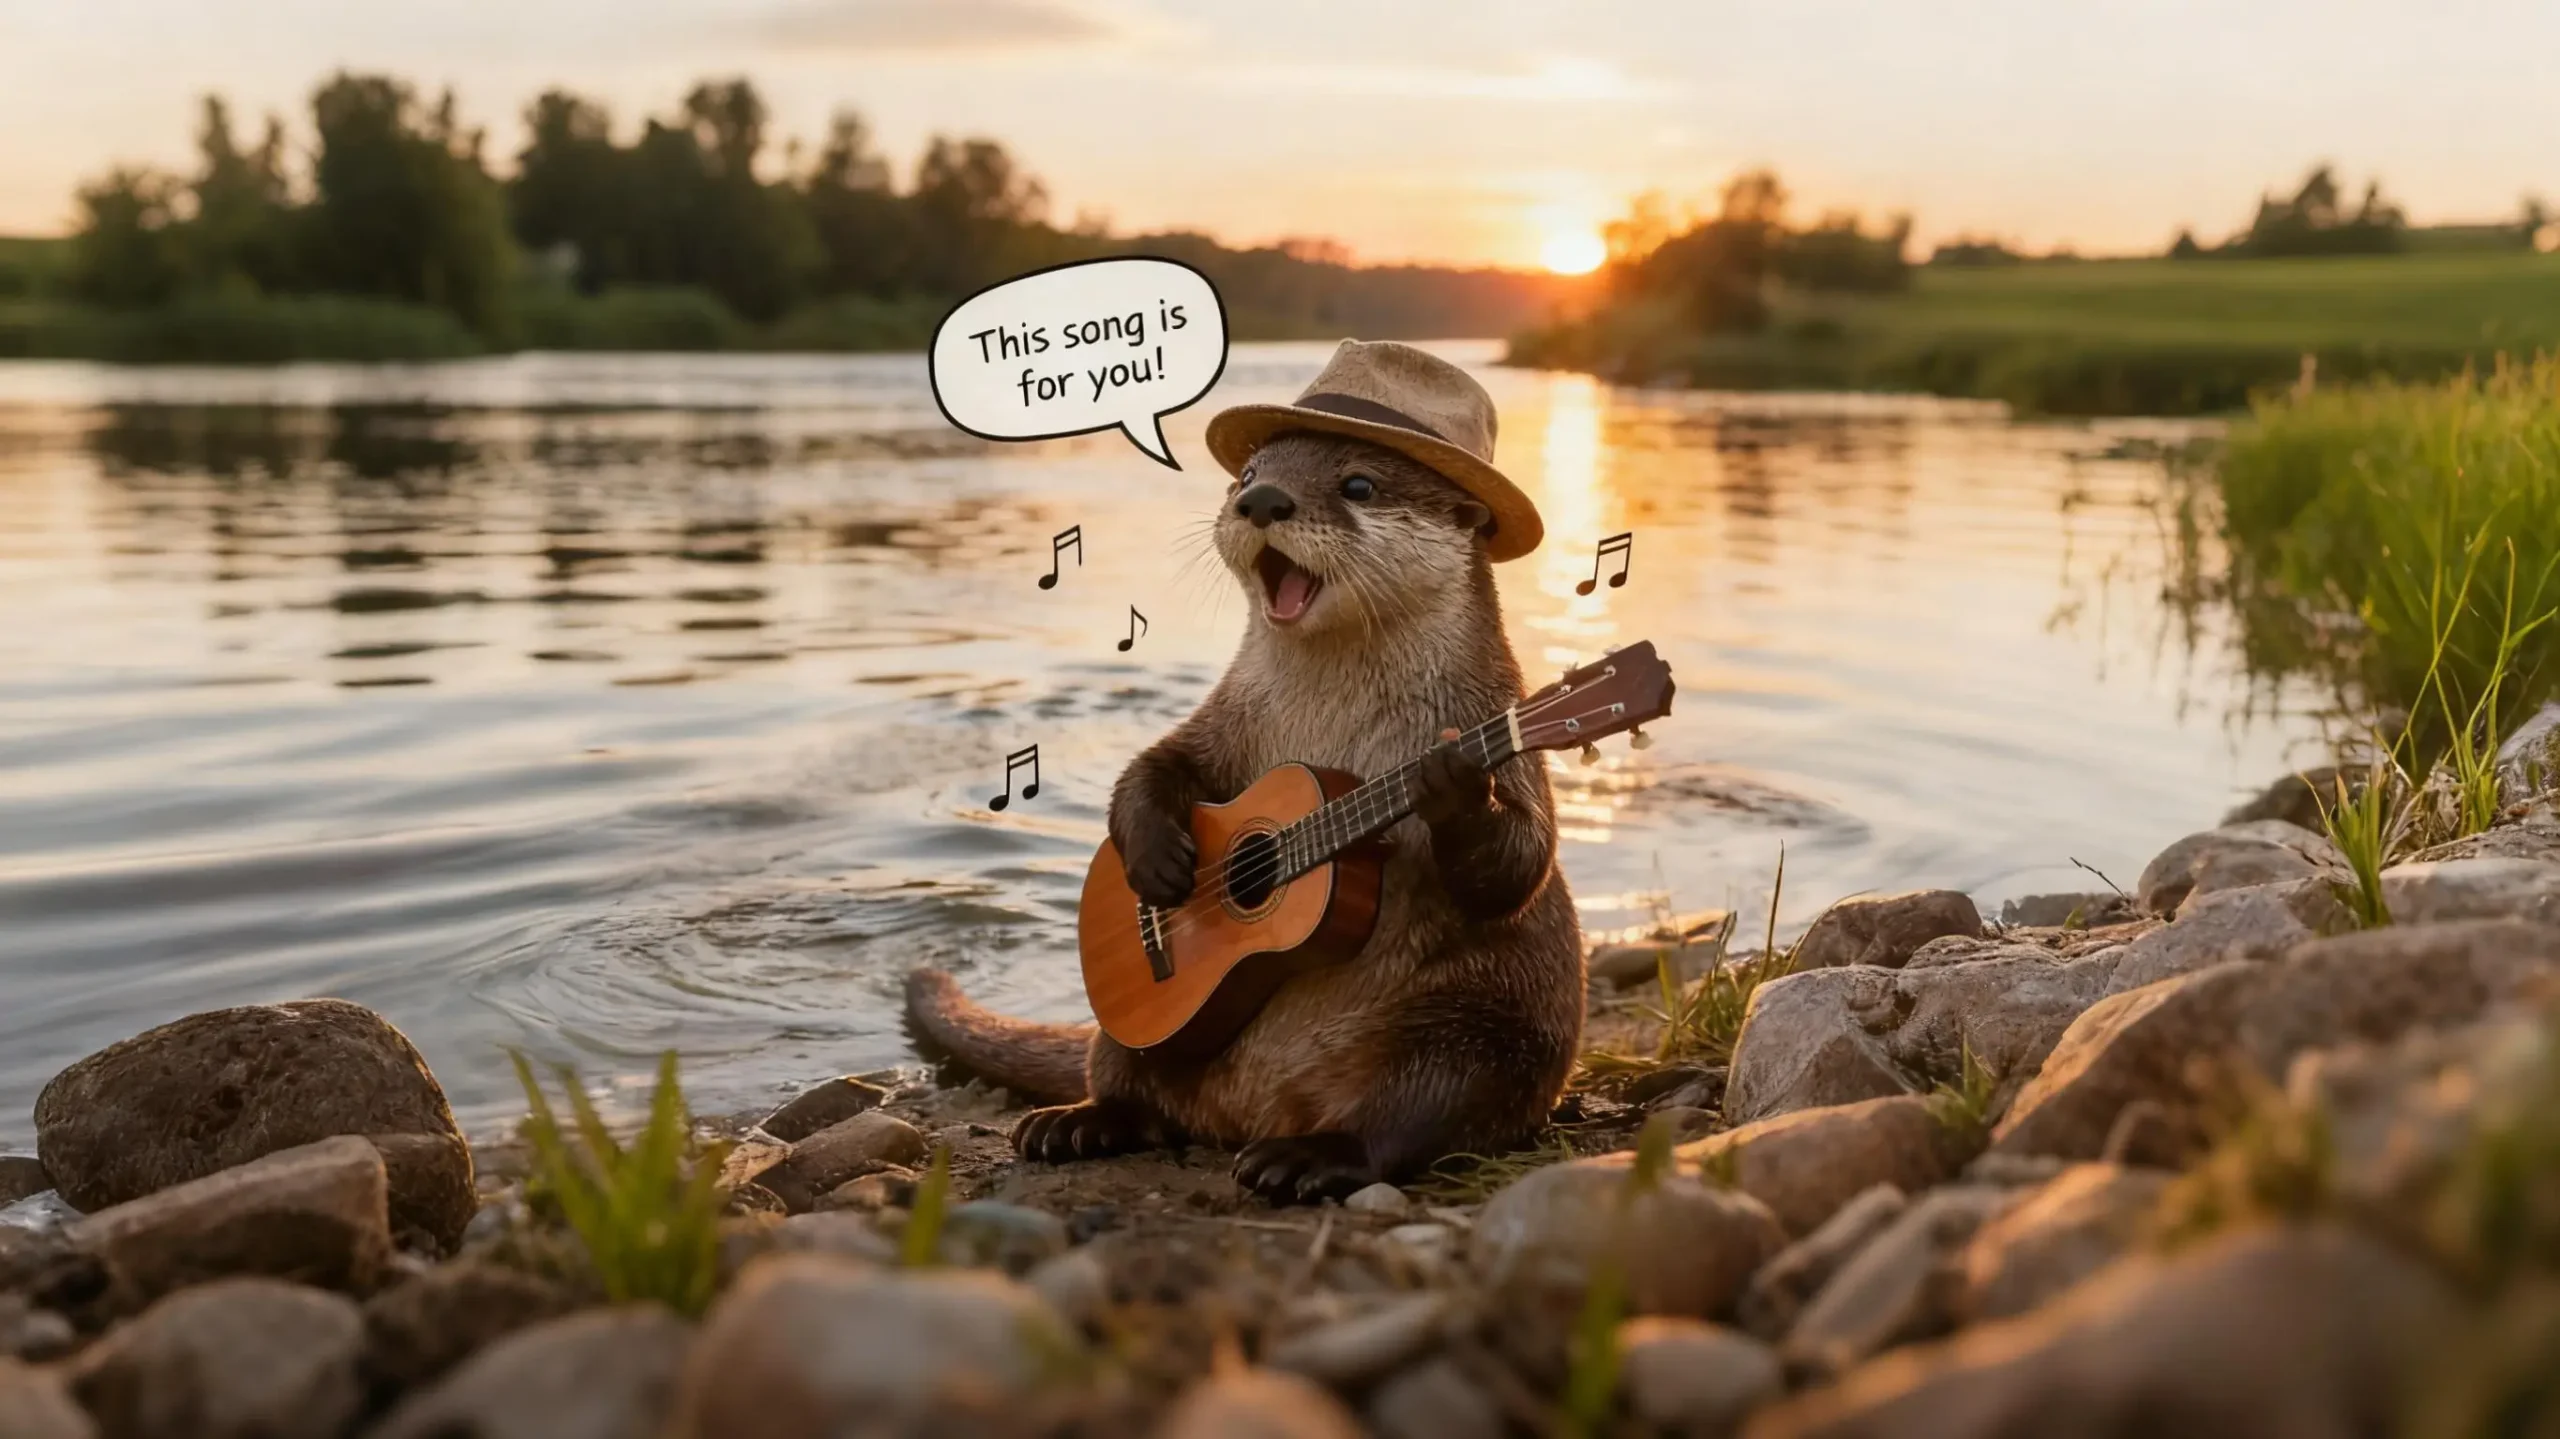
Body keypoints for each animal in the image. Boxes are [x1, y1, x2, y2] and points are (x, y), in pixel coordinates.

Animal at [908, 346, 1583, 1203]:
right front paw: (1157, 860)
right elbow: (1158, 762)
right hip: (1130, 1035)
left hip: (1484, 1028)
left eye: (1359, 484)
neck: (1331, 715)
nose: (1262, 500)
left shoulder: (1494, 712)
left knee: (1418, 1109)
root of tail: (1256, 1107)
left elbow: (1521, 859)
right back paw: (1077, 1122)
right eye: (1251, 472)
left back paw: (1308, 1157)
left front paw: (1450, 784)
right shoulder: (1226, 718)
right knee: (1133, 1085)